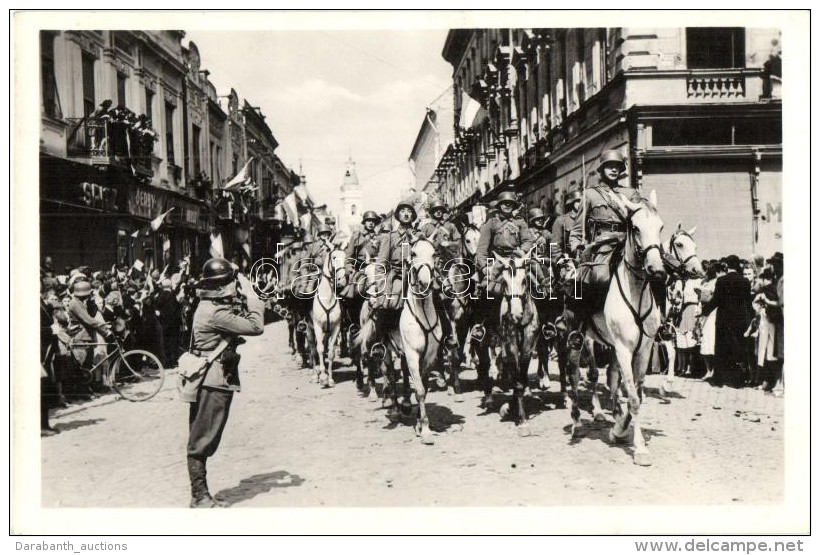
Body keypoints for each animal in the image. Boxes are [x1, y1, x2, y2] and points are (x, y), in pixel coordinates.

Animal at [308, 245, 346, 388]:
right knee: (313, 349)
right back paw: (315, 375)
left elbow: (330, 353)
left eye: (345, 257)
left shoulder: (336, 327)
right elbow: (319, 350)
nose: (342, 280)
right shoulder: (318, 326)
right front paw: (323, 377)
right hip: (309, 329)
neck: (327, 298)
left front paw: (329, 379)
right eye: (334, 257)